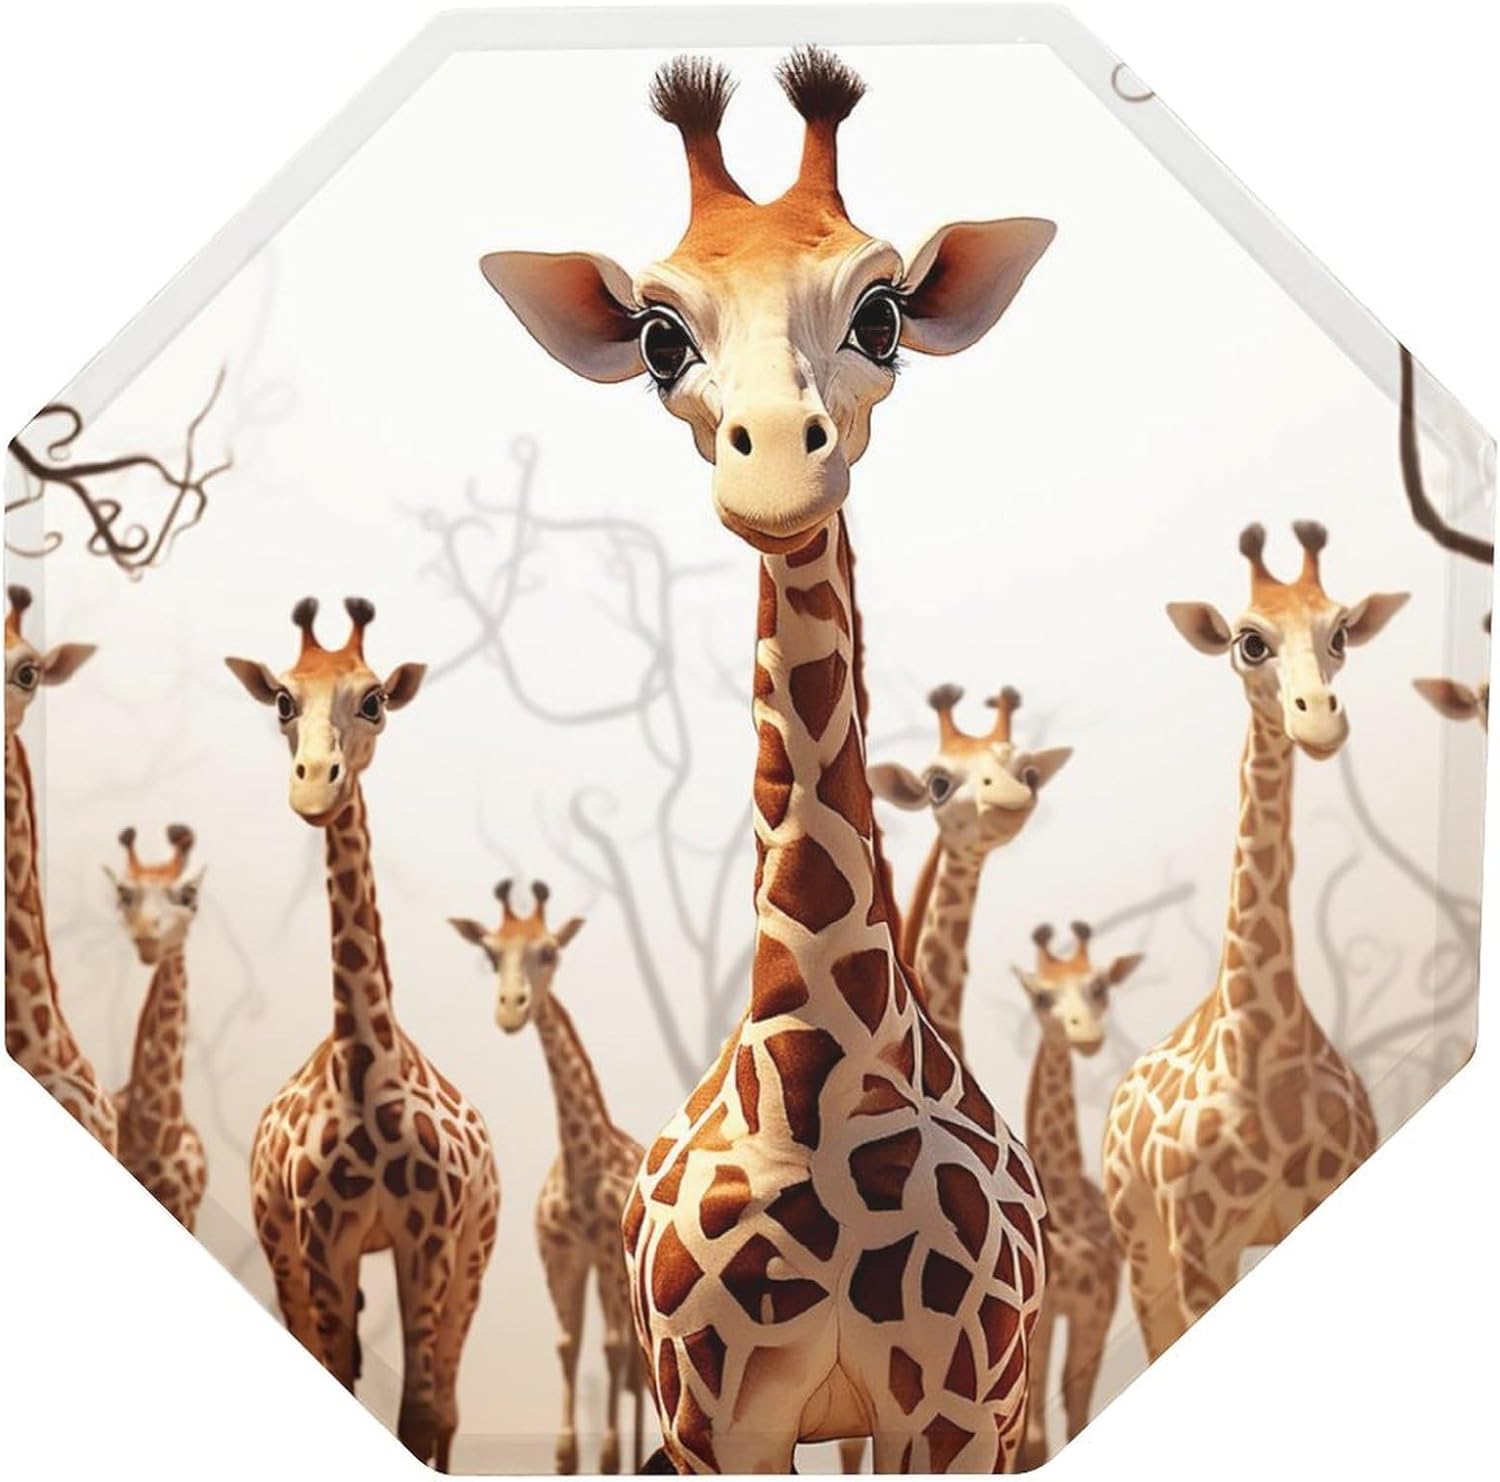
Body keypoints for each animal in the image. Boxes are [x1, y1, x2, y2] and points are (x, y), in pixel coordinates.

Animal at [225, 596, 499, 1469]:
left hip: (478, 1249)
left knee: (449, 1402)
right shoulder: (322, 1238)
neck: (364, 1066)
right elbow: (339, 1372)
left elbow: (421, 1412)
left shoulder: (432, 1238)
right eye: (283, 699)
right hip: (277, 1240)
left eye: (374, 699)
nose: (315, 786)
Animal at [450, 879, 648, 1475]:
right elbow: (567, 1344)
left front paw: (608, 1457)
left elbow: (610, 1347)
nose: (511, 1010)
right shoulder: (559, 1254)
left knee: (634, 1362)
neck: (581, 1156)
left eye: (549, 951)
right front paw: (566, 1455)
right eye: (491, 954)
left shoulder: (604, 1255)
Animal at [1101, 522, 1409, 1361]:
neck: (1260, 1050)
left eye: (1340, 632)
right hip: (1142, 1245)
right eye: (1250, 642)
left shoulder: (1326, 1196)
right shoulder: (1197, 1250)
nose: (1319, 719)